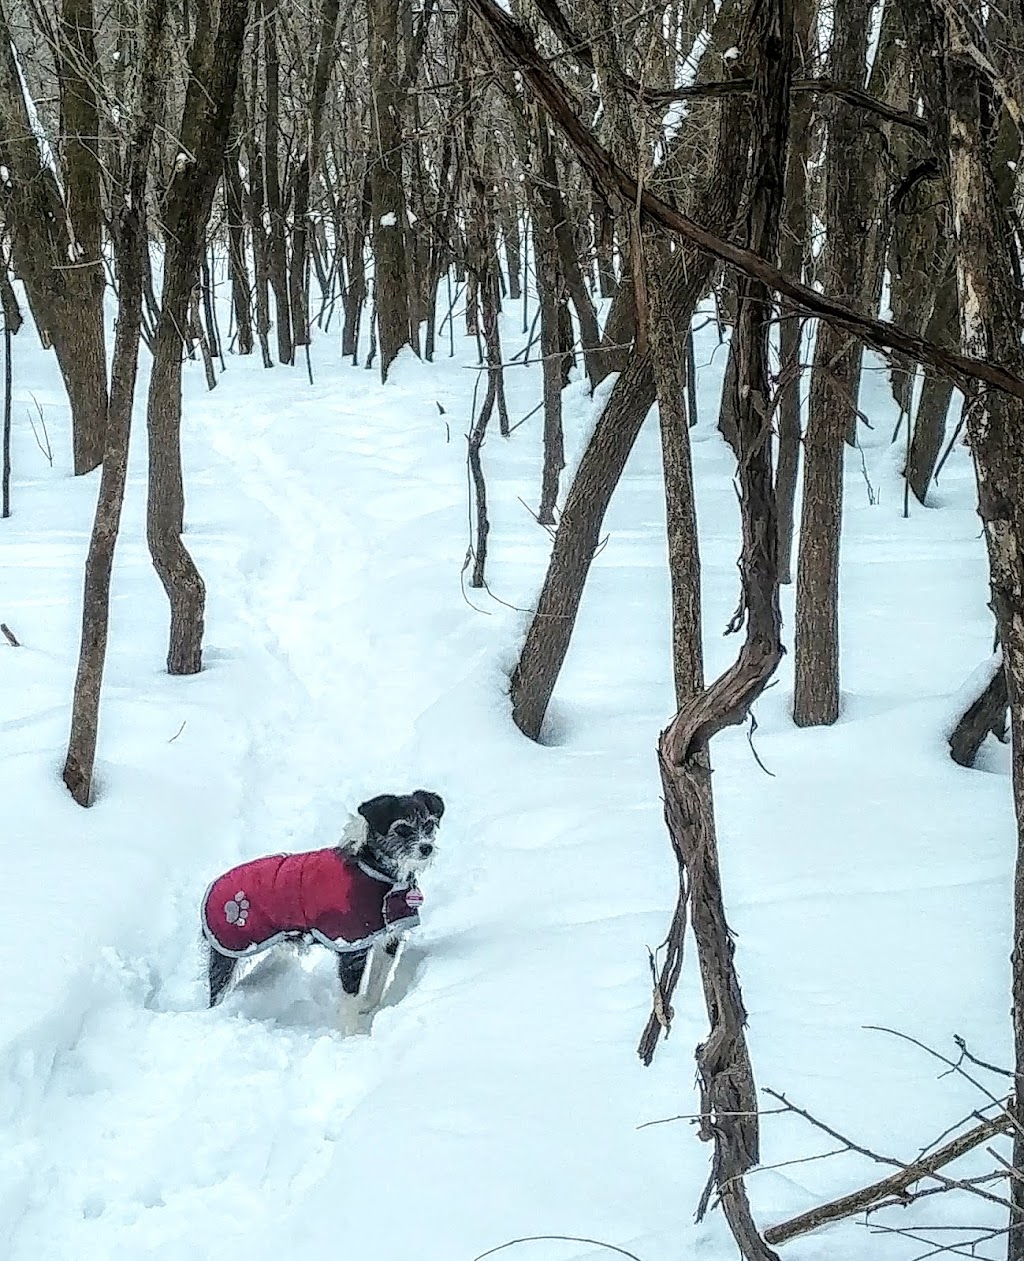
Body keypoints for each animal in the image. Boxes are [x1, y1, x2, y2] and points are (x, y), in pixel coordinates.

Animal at [200, 791, 443, 1028]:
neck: (372, 868)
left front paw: (367, 1007)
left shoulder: (389, 938)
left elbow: (377, 983)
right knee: (217, 993)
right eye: (402, 828)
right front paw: (351, 1034)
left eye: (429, 824)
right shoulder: (352, 949)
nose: (426, 848)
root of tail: (212, 886)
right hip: (227, 954)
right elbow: (350, 999)